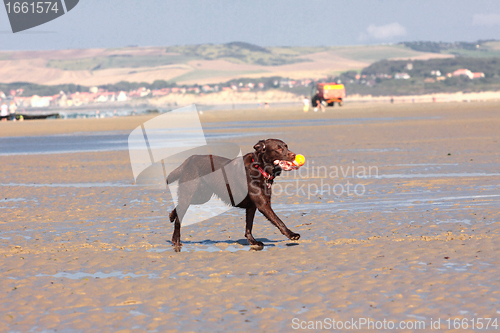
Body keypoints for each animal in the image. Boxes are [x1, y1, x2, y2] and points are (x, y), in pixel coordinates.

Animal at [168, 137, 300, 249]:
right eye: (278, 149)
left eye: (286, 146)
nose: (294, 155)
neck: (260, 167)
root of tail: (190, 159)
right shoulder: (263, 204)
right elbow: (279, 221)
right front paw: (291, 234)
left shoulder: (252, 206)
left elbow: (249, 227)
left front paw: (253, 241)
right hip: (190, 193)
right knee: (179, 219)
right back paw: (176, 240)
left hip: (202, 196)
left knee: (179, 207)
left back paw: (171, 216)